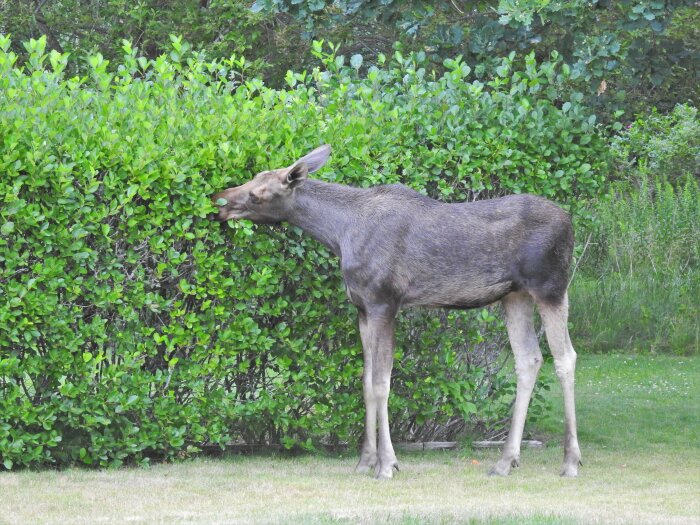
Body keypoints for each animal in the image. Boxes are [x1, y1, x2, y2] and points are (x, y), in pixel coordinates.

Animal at [211, 144, 584, 478]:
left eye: (257, 193)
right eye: (253, 178)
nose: (220, 200)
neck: (339, 233)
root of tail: (570, 222)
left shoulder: (384, 302)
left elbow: (382, 383)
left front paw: (387, 464)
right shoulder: (362, 309)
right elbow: (365, 382)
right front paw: (365, 461)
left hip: (551, 287)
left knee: (565, 357)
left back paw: (570, 461)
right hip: (514, 295)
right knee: (529, 359)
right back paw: (506, 461)